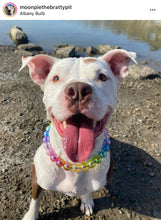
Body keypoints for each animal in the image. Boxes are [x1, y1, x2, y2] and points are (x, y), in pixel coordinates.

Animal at [19, 49, 136, 219]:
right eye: (56, 78)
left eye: (102, 77)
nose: (79, 90)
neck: (74, 162)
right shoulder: (38, 178)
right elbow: (35, 198)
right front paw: (31, 215)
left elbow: (87, 190)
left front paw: (86, 201)